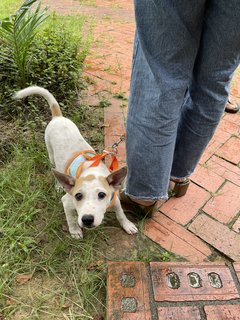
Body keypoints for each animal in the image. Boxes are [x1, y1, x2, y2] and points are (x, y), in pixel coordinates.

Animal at [15, 86, 138, 239]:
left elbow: (120, 212)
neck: (92, 171)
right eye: (78, 196)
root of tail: (58, 117)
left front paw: (127, 225)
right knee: (55, 170)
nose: (87, 219)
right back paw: (58, 185)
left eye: (101, 195)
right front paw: (75, 231)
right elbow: (71, 218)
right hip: (51, 154)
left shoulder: (114, 199)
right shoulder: (67, 202)